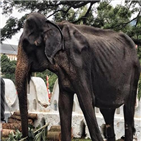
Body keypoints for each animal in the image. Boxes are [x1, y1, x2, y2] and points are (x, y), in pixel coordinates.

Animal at [15, 12, 140, 140]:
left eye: (26, 44)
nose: (27, 135)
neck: (54, 25)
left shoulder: (79, 62)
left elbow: (86, 101)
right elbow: (63, 104)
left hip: (135, 72)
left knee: (128, 109)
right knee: (107, 111)